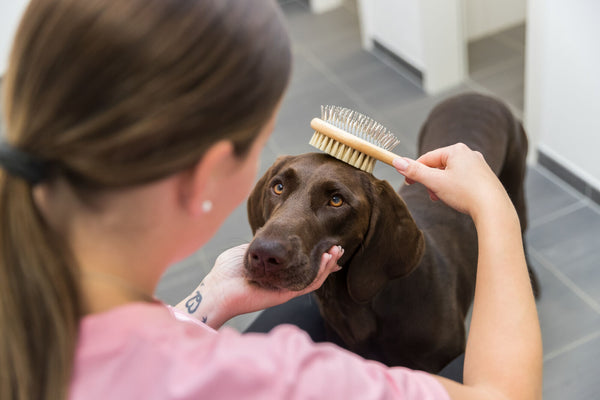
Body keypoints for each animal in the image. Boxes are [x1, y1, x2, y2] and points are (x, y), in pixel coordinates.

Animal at [245, 93, 540, 372]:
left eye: (336, 200)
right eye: (278, 187)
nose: (265, 255)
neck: (350, 304)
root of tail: (473, 95)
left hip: (513, 188)